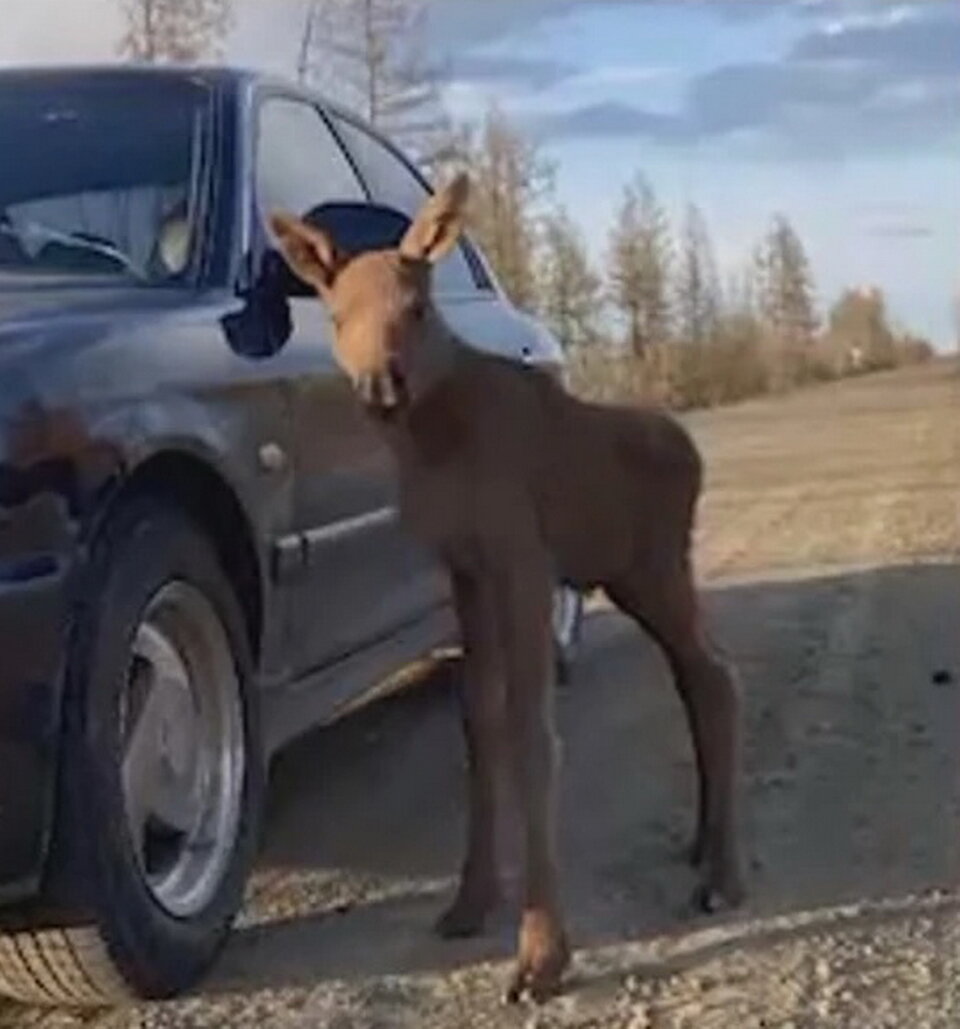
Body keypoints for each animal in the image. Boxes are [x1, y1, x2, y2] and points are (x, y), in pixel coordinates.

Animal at [269, 176, 740, 1004]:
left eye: (416, 306)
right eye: (337, 314)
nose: (381, 383)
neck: (433, 444)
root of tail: (693, 450)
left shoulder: (521, 558)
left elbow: (530, 732)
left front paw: (541, 953)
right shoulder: (464, 567)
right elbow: (477, 721)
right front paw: (469, 898)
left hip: (655, 565)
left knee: (717, 676)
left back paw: (723, 875)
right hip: (633, 575)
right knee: (696, 675)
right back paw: (699, 846)